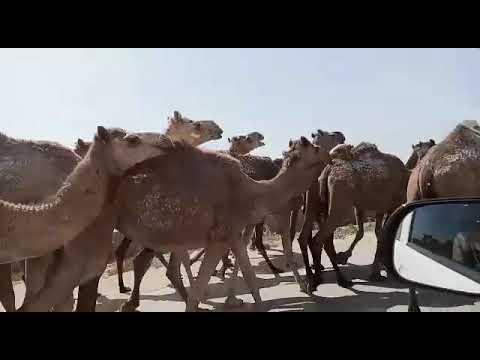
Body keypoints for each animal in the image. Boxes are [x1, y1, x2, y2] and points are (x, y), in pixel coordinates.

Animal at [296, 141, 408, 292]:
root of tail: (326, 170)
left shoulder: (365, 207)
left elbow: (368, 232)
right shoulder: (392, 205)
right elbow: (381, 233)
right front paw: (376, 273)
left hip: (313, 201)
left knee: (305, 237)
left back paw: (312, 281)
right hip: (340, 202)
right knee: (319, 240)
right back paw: (326, 280)